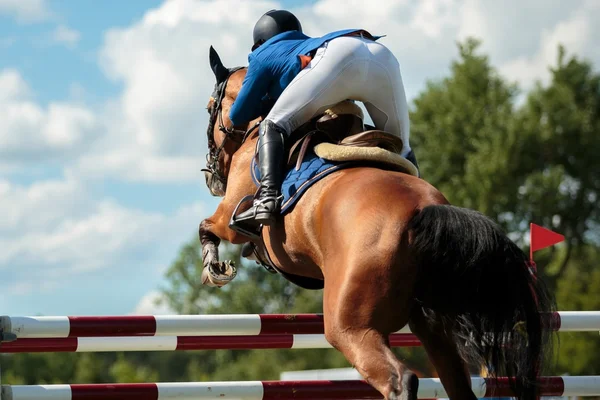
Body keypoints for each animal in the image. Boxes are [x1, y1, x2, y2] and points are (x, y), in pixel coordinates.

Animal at [199, 46, 556, 400]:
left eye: (209, 107)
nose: (210, 176)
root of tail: (422, 211)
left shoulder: (229, 215)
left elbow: (208, 226)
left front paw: (214, 269)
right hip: (433, 324)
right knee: (456, 384)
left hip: (350, 326)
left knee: (399, 379)